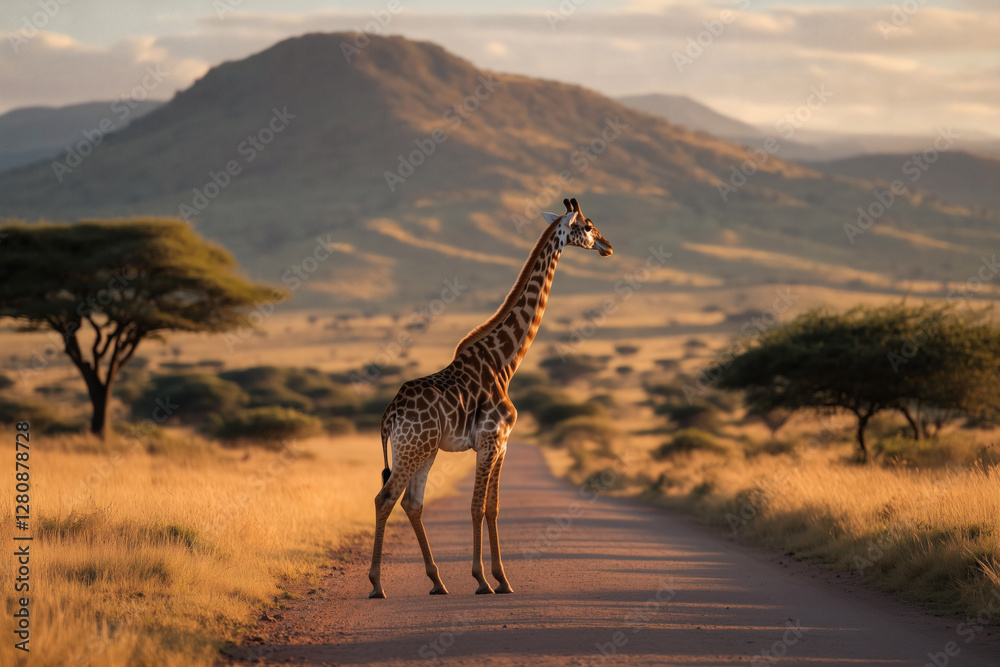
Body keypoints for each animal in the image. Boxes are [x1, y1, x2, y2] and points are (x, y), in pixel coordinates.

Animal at [368, 197, 613, 598]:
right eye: (588, 226)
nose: (608, 246)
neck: (504, 361)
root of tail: (388, 416)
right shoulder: (491, 440)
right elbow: (476, 507)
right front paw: (484, 579)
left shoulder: (503, 443)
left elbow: (493, 507)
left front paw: (501, 578)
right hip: (413, 450)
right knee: (385, 498)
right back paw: (376, 584)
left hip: (424, 451)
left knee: (413, 503)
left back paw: (437, 581)